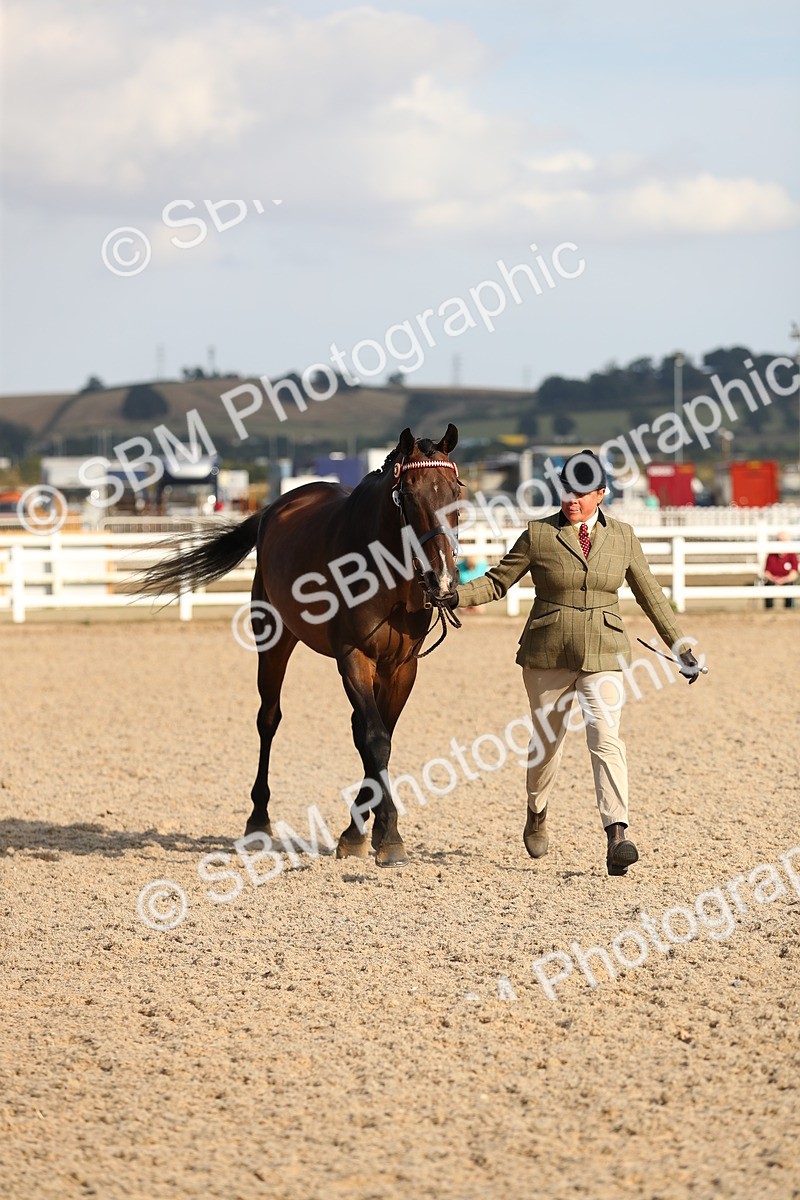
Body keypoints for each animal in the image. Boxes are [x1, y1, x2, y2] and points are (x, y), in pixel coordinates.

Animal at [137, 424, 463, 865]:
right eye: (407, 495)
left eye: (456, 492)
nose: (443, 581)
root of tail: (276, 506)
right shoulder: (353, 657)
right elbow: (376, 740)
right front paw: (389, 834)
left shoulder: (402, 666)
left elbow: (381, 737)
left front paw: (364, 832)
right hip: (273, 639)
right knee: (269, 719)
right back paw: (258, 821)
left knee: (357, 728)